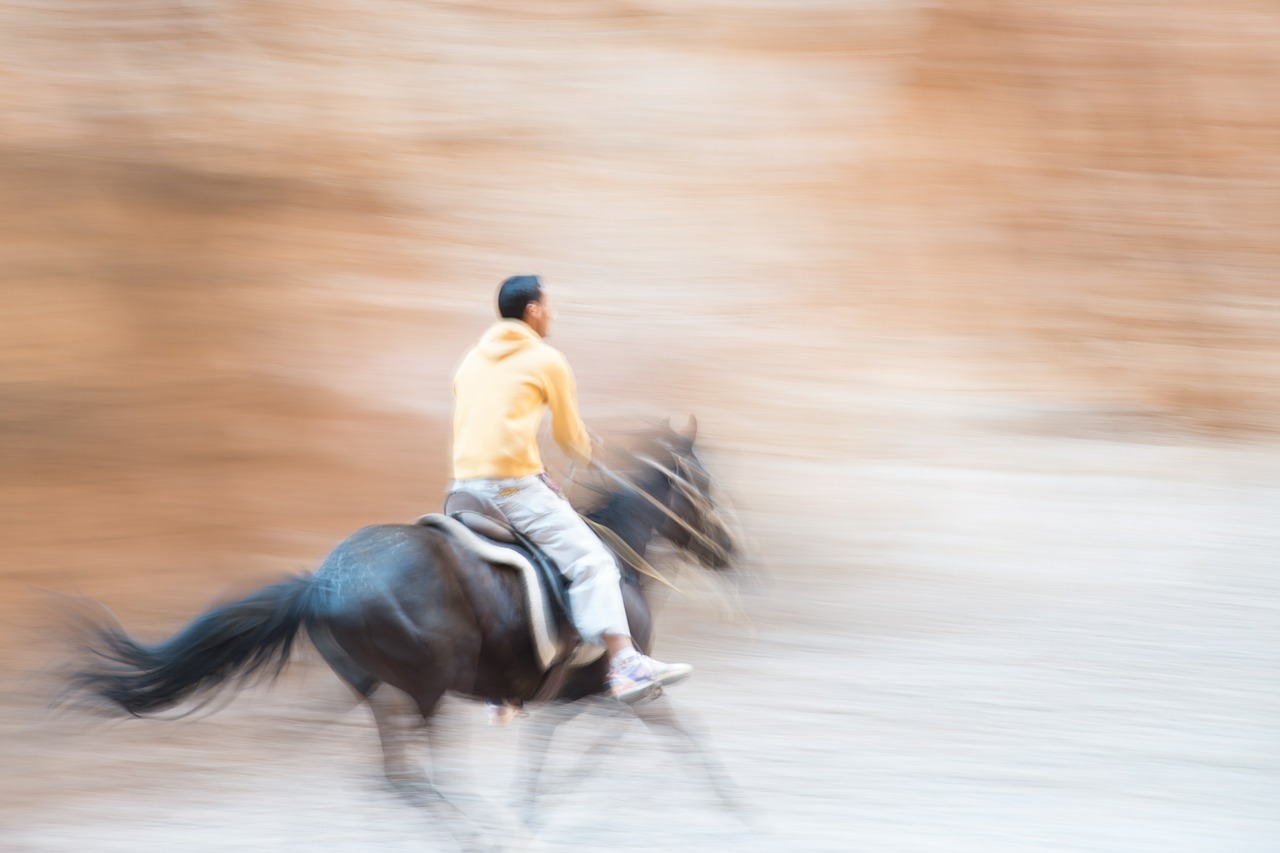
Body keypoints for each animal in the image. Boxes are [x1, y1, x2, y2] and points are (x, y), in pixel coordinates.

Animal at [64, 417, 737, 835]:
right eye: (705, 485)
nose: (730, 552)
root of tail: (321, 585)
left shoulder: (572, 697)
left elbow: (582, 750)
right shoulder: (612, 688)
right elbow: (670, 736)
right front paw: (732, 809)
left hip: (385, 690)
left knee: (390, 779)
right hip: (428, 688)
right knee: (411, 778)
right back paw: (476, 829)